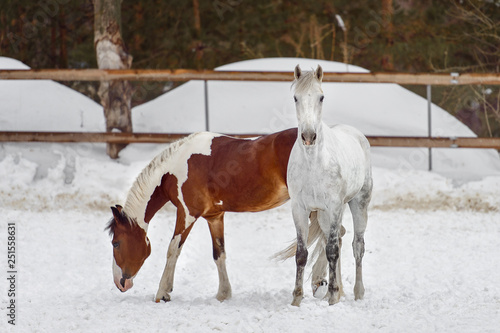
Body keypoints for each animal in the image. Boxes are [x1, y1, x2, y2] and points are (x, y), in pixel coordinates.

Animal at [286, 65, 372, 306]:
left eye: (321, 97)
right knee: (338, 240)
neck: (313, 163)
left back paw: (357, 292)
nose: (308, 136)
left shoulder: (334, 207)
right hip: (325, 215)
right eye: (295, 97)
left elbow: (332, 251)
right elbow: (302, 253)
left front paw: (333, 297)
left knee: (357, 246)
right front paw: (296, 299)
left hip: (358, 204)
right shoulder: (300, 209)